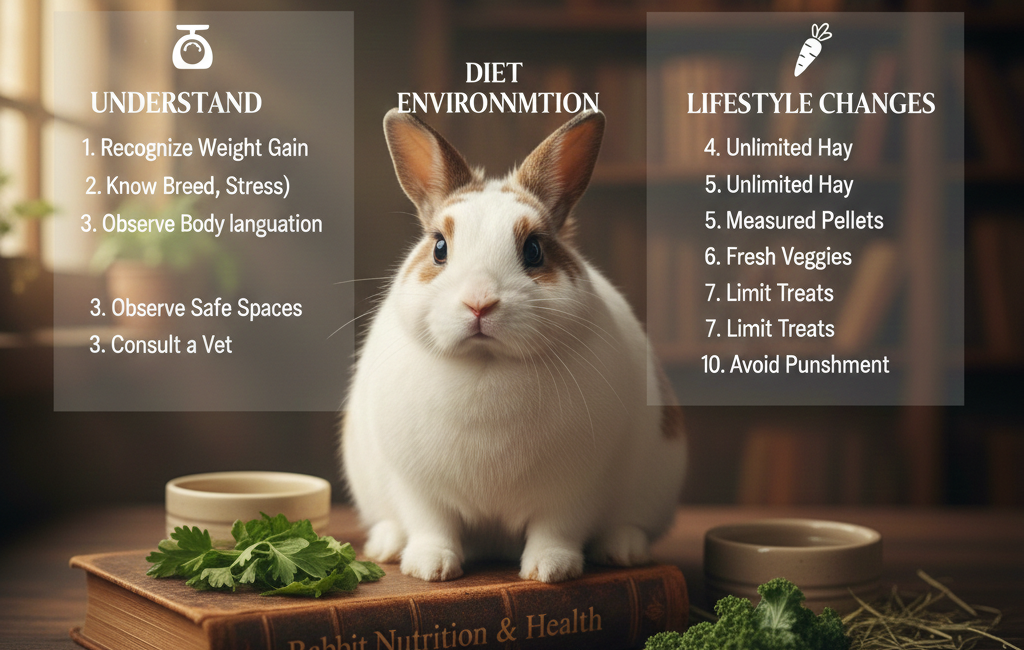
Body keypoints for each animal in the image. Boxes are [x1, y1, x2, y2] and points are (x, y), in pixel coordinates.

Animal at [341, 108, 687, 584]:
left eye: (534, 250)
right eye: (440, 247)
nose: (479, 302)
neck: (485, 365)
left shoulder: (574, 488)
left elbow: (555, 529)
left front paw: (550, 570)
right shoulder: (418, 487)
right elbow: (432, 524)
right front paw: (430, 567)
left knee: (627, 524)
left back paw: (623, 551)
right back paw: (388, 545)